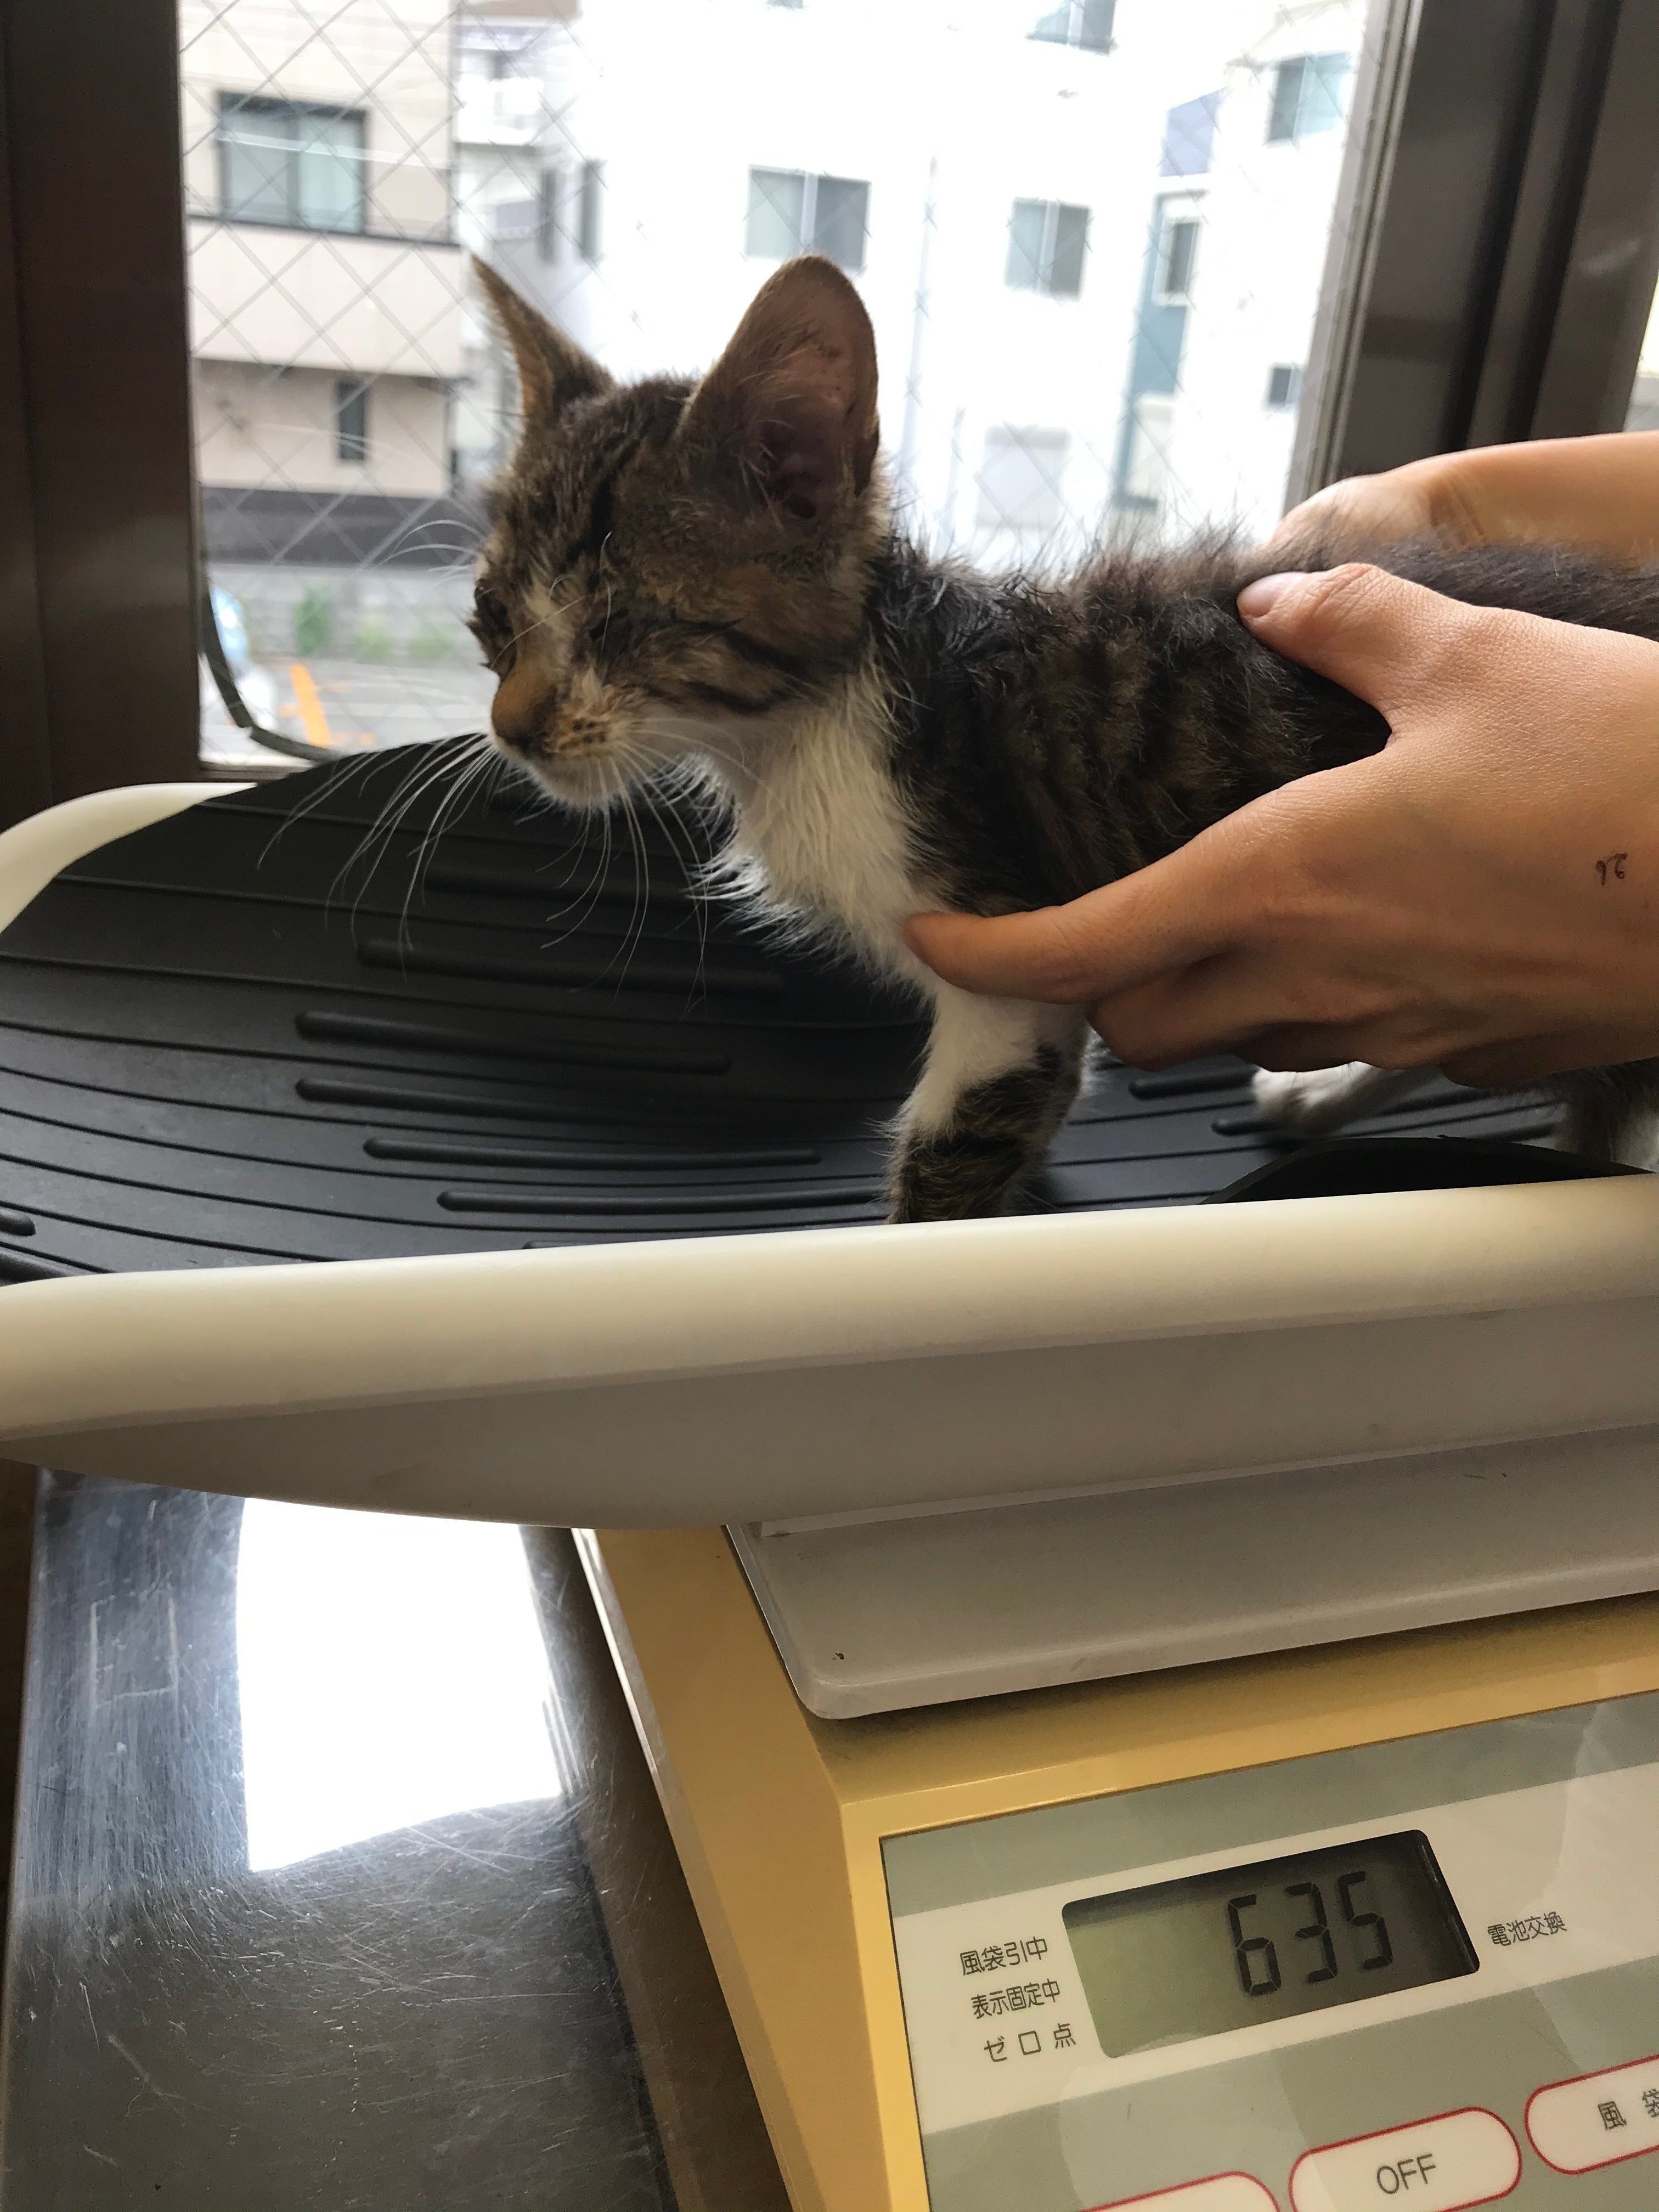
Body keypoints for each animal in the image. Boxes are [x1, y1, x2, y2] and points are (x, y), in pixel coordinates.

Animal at [468, 251, 1659, 1220]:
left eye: (620, 625)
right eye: (492, 617)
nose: (509, 729)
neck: (800, 725)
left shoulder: (1002, 957)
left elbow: (953, 1164)